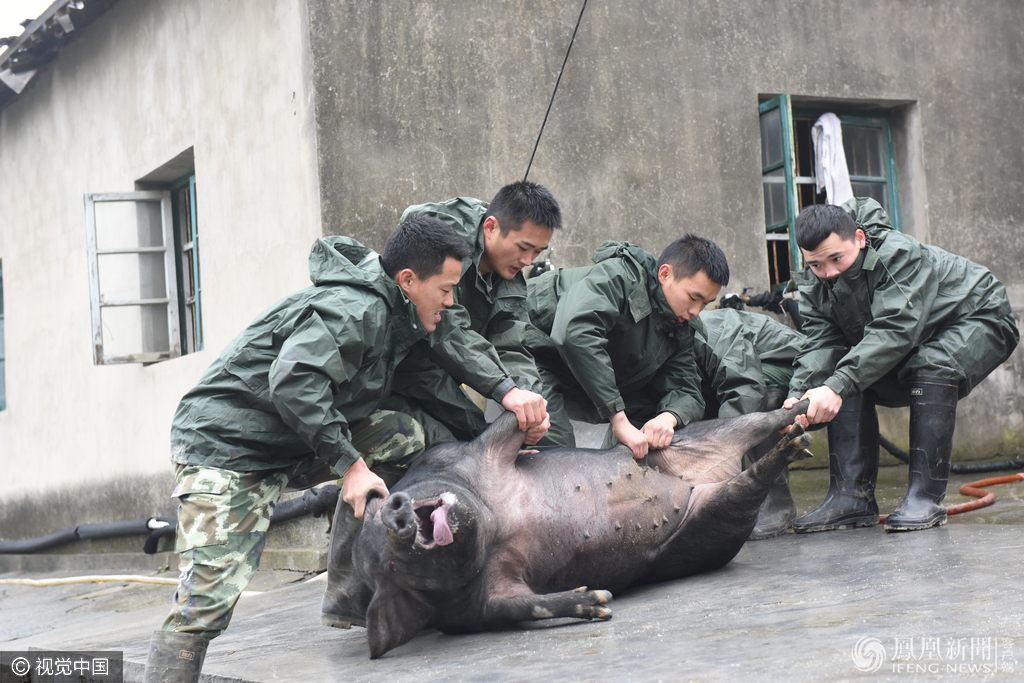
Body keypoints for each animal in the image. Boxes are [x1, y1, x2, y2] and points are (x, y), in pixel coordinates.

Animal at [348, 401, 811, 655]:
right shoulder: (472, 608)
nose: (395, 513)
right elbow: (520, 606)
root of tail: (707, 475)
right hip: (713, 522)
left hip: (701, 434)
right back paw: (794, 445)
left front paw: (529, 410)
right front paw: (600, 602)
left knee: (762, 419)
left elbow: (506, 429)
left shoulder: (465, 454)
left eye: (376, 519)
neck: (496, 522)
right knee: (747, 484)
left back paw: (805, 413)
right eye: (387, 565)